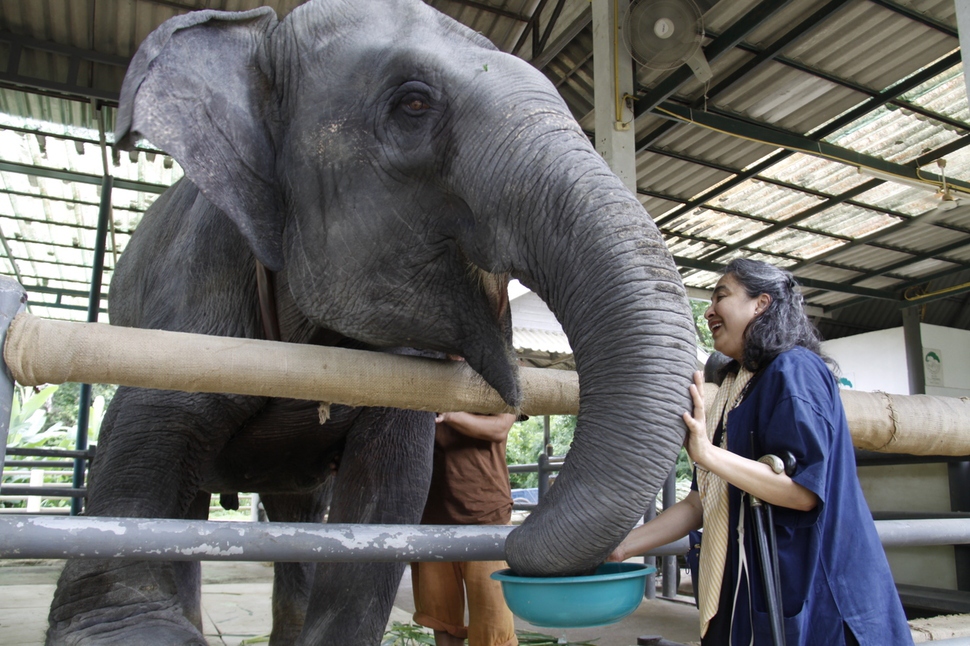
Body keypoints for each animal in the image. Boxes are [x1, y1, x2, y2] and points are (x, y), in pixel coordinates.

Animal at [45, 0, 696, 644]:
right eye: (413, 104)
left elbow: (376, 521)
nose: (513, 533)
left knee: (300, 524)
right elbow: (114, 616)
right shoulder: (191, 304)